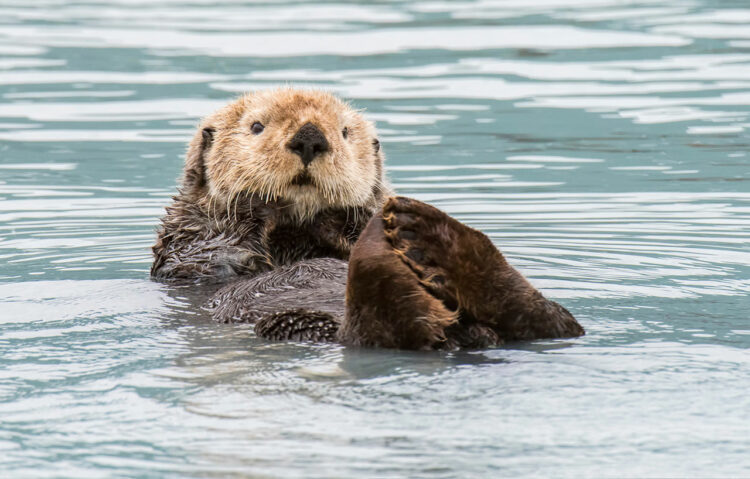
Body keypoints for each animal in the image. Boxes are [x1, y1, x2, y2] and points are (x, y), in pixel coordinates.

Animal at [154, 87, 588, 348]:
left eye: (345, 132)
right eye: (256, 126)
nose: (310, 137)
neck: (297, 233)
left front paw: (353, 219)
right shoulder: (188, 241)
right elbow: (216, 253)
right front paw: (258, 204)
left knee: (552, 321)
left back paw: (430, 236)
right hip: (296, 323)